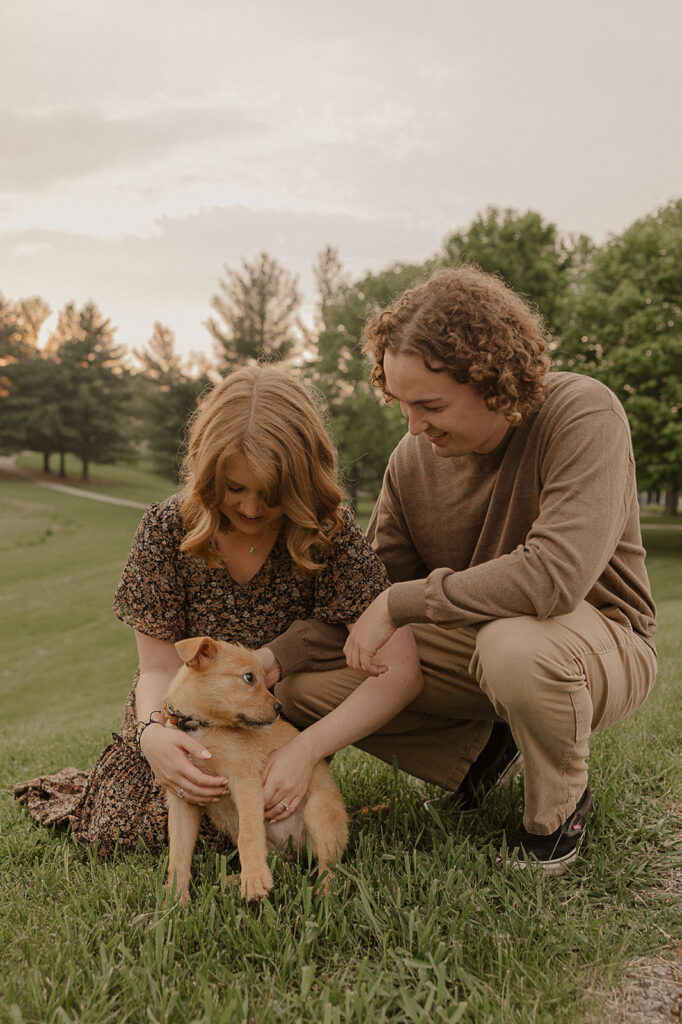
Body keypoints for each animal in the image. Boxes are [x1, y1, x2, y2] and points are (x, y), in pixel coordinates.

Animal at [161, 634, 348, 901]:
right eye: (249, 678)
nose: (279, 709)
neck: (200, 728)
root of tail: (295, 848)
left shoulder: (245, 780)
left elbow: (248, 835)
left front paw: (254, 881)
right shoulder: (183, 797)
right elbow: (178, 852)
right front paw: (175, 900)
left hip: (320, 813)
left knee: (329, 867)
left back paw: (323, 892)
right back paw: (230, 880)